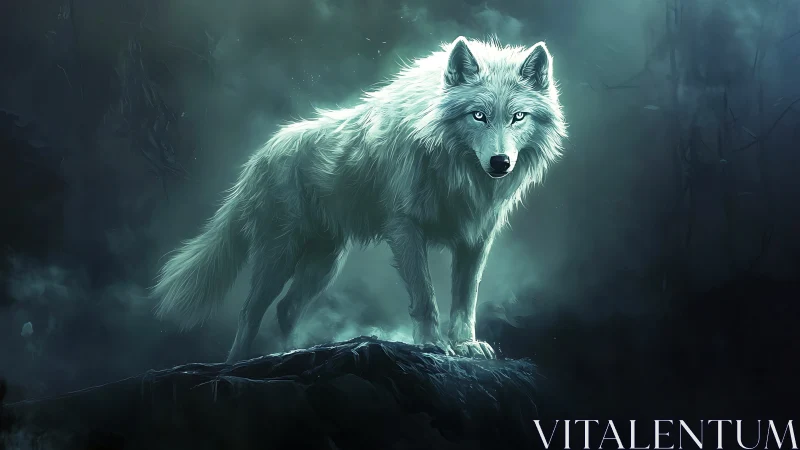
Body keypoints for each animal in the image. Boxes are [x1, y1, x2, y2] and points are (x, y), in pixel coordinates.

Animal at [153, 36, 566, 364]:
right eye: (478, 115)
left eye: (518, 117)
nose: (500, 163)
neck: (454, 167)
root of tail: (259, 156)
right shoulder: (405, 228)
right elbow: (425, 297)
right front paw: (432, 344)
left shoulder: (476, 237)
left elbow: (466, 301)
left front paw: (466, 344)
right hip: (279, 255)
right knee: (250, 311)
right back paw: (237, 362)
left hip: (325, 263)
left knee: (286, 309)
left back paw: (289, 353)